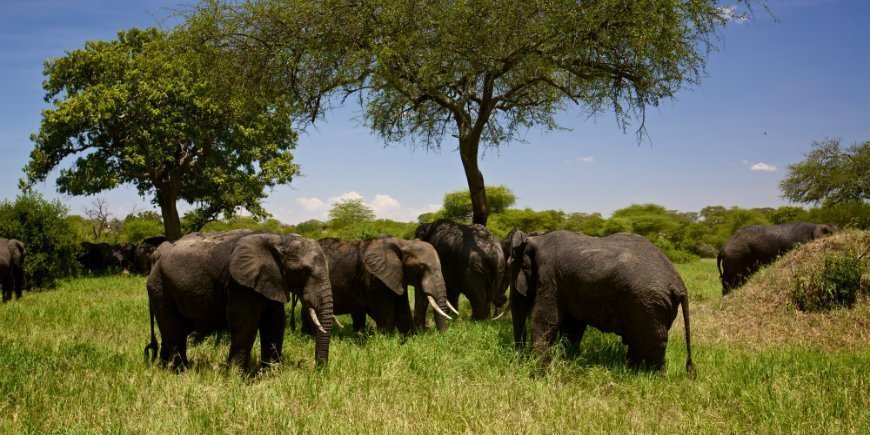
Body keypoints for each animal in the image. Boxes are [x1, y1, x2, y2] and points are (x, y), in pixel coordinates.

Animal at [143, 230, 334, 372]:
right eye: (304, 272)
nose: (318, 370)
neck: (280, 240)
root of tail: (156, 258)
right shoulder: (240, 284)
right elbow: (245, 324)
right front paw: (236, 378)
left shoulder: (272, 279)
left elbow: (275, 323)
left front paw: (270, 373)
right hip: (160, 287)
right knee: (173, 330)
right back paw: (181, 371)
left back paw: (165, 368)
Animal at [306, 237, 456, 336]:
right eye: (421, 267)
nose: (444, 336)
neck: (403, 243)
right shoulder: (375, 278)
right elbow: (386, 313)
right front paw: (388, 340)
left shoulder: (396, 275)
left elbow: (402, 308)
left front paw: (408, 338)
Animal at [508, 230, 700, 376]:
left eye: (517, 268)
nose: (519, 357)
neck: (536, 239)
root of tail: (679, 284)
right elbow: (572, 326)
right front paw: (566, 360)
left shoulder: (550, 277)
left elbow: (546, 321)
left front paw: (540, 372)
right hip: (651, 306)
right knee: (640, 341)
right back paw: (632, 372)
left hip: (648, 304)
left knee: (651, 343)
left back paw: (652, 377)